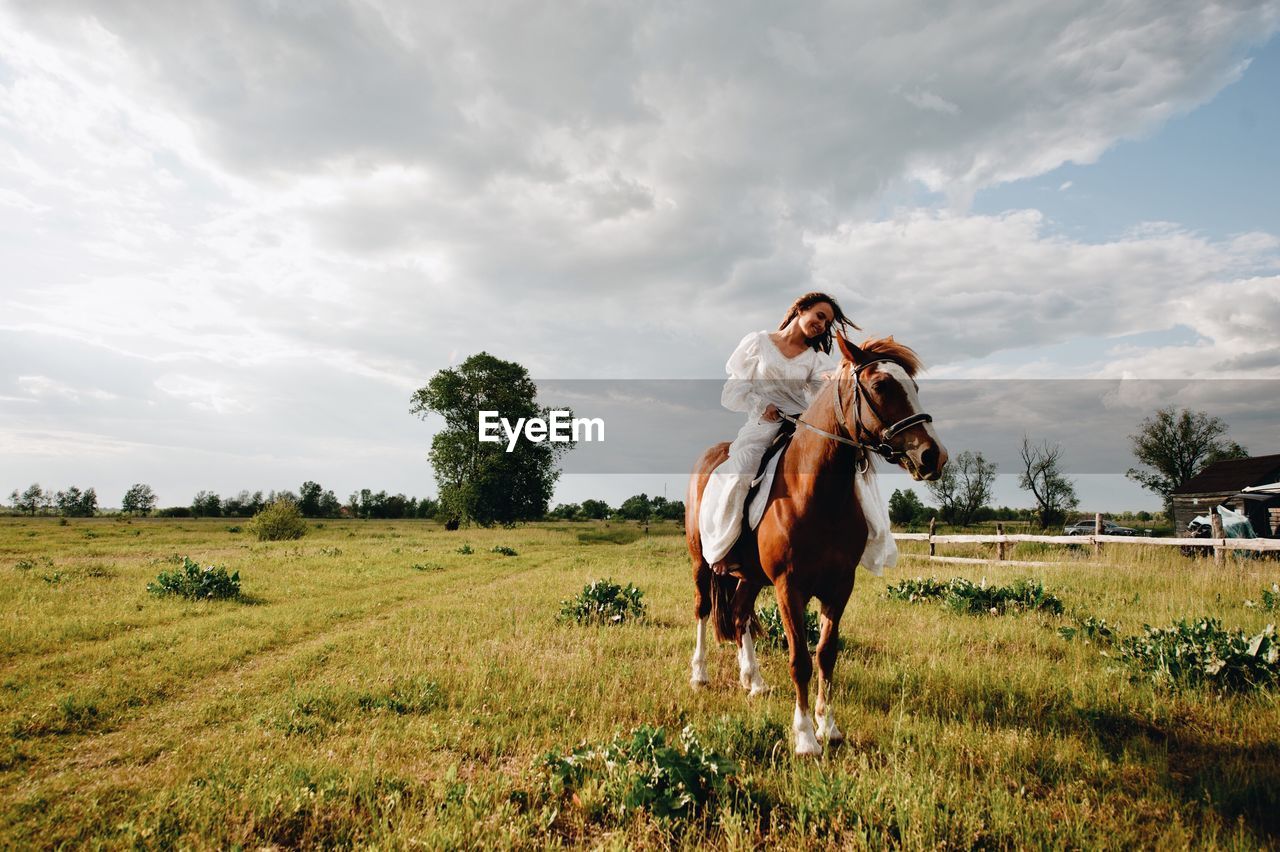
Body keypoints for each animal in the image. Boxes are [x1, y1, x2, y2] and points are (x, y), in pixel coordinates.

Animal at [686, 330, 947, 752]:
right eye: (881, 385)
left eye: (915, 387)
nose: (932, 455)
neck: (815, 493)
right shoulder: (789, 587)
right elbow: (800, 660)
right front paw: (806, 736)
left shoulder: (839, 587)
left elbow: (825, 655)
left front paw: (829, 725)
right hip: (701, 564)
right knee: (703, 610)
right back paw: (700, 674)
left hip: (751, 577)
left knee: (739, 614)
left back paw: (753, 680)